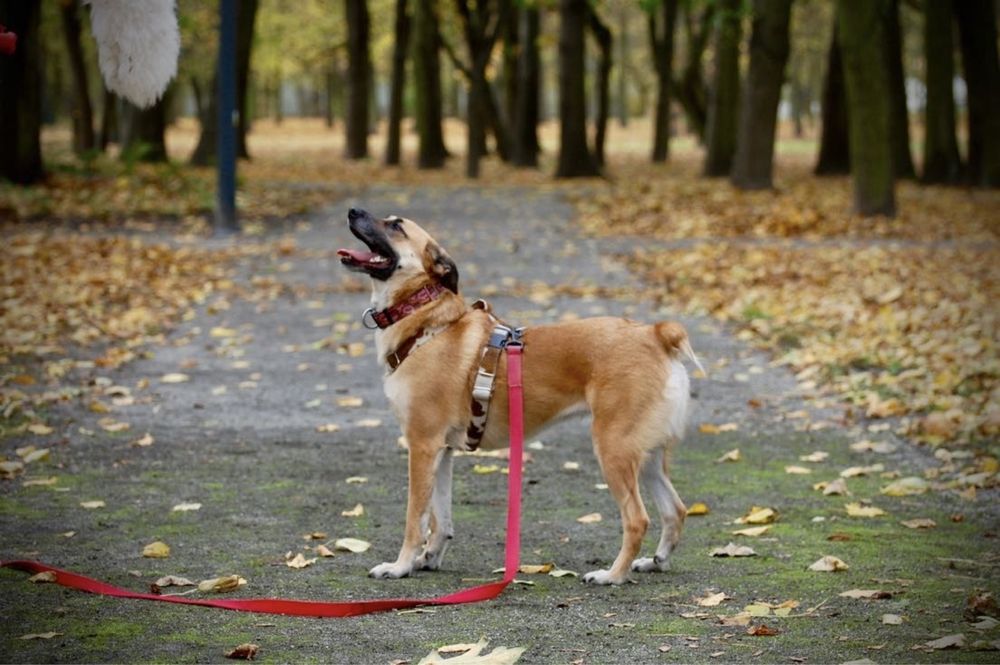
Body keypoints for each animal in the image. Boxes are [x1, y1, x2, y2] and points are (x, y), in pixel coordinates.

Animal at [340, 206, 700, 580]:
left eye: (395, 225)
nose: (353, 210)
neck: (424, 321)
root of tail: (657, 334)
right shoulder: (442, 452)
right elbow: (440, 518)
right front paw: (429, 557)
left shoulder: (422, 445)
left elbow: (415, 518)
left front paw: (400, 566)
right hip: (646, 454)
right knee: (675, 510)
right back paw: (654, 562)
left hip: (614, 448)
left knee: (638, 519)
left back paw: (612, 575)